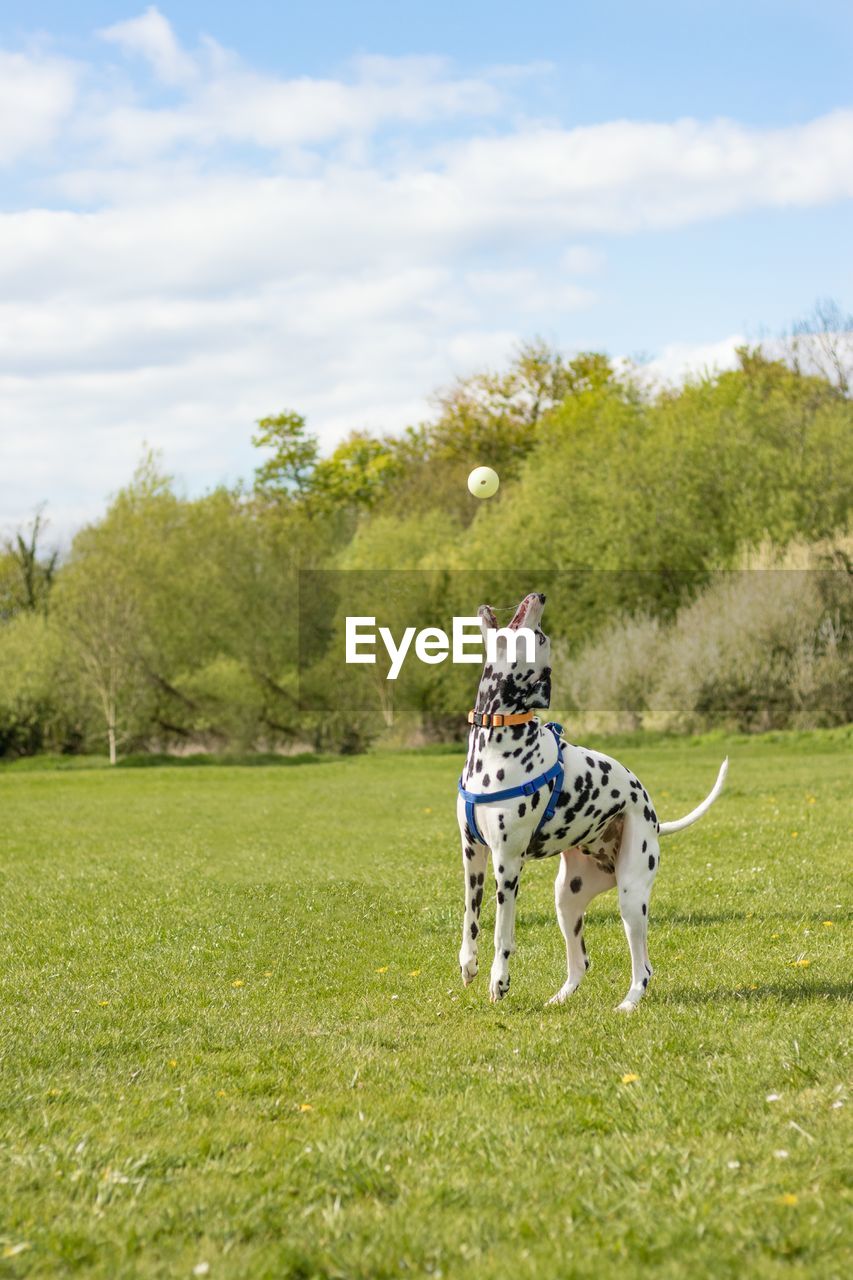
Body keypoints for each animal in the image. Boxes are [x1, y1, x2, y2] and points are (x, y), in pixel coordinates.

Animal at [455, 593, 727, 1013]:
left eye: (540, 636)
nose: (540, 596)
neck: (496, 738)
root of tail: (654, 818)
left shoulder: (507, 864)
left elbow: (503, 934)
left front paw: (499, 981)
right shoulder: (473, 855)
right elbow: (471, 917)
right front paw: (468, 964)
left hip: (631, 898)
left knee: (644, 967)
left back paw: (629, 1004)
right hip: (567, 900)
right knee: (580, 961)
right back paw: (559, 999)